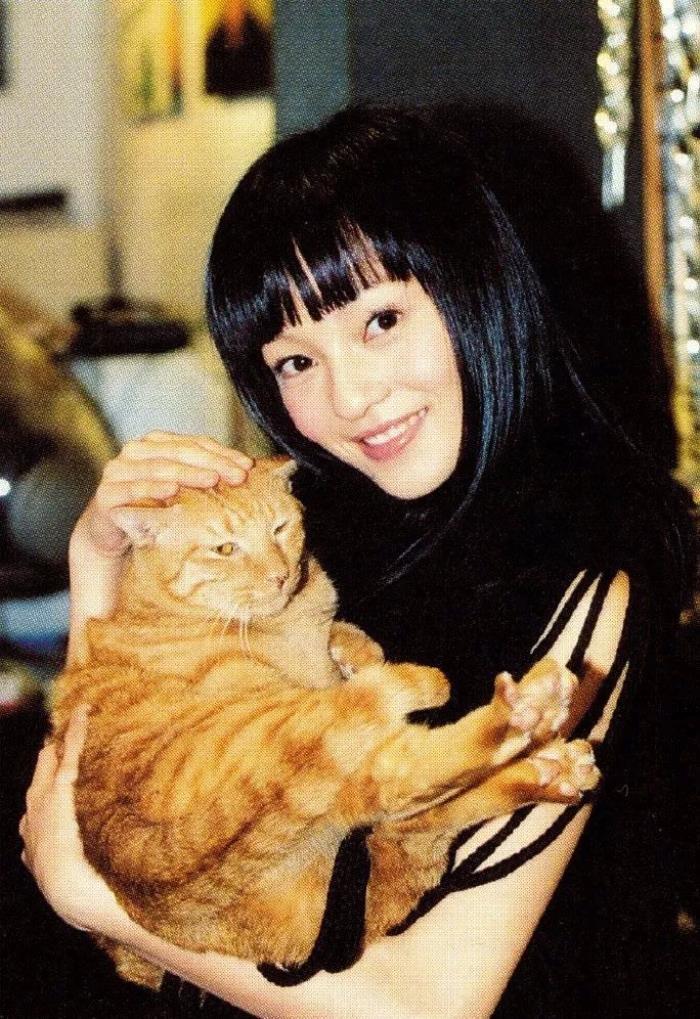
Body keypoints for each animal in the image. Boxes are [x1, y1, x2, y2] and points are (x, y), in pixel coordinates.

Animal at [51, 456, 599, 990]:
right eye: (225, 548)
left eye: (280, 528)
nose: (278, 576)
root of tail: (159, 875)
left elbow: (348, 637)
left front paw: (352, 650)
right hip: (298, 741)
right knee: (406, 786)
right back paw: (529, 712)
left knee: (411, 819)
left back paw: (552, 768)